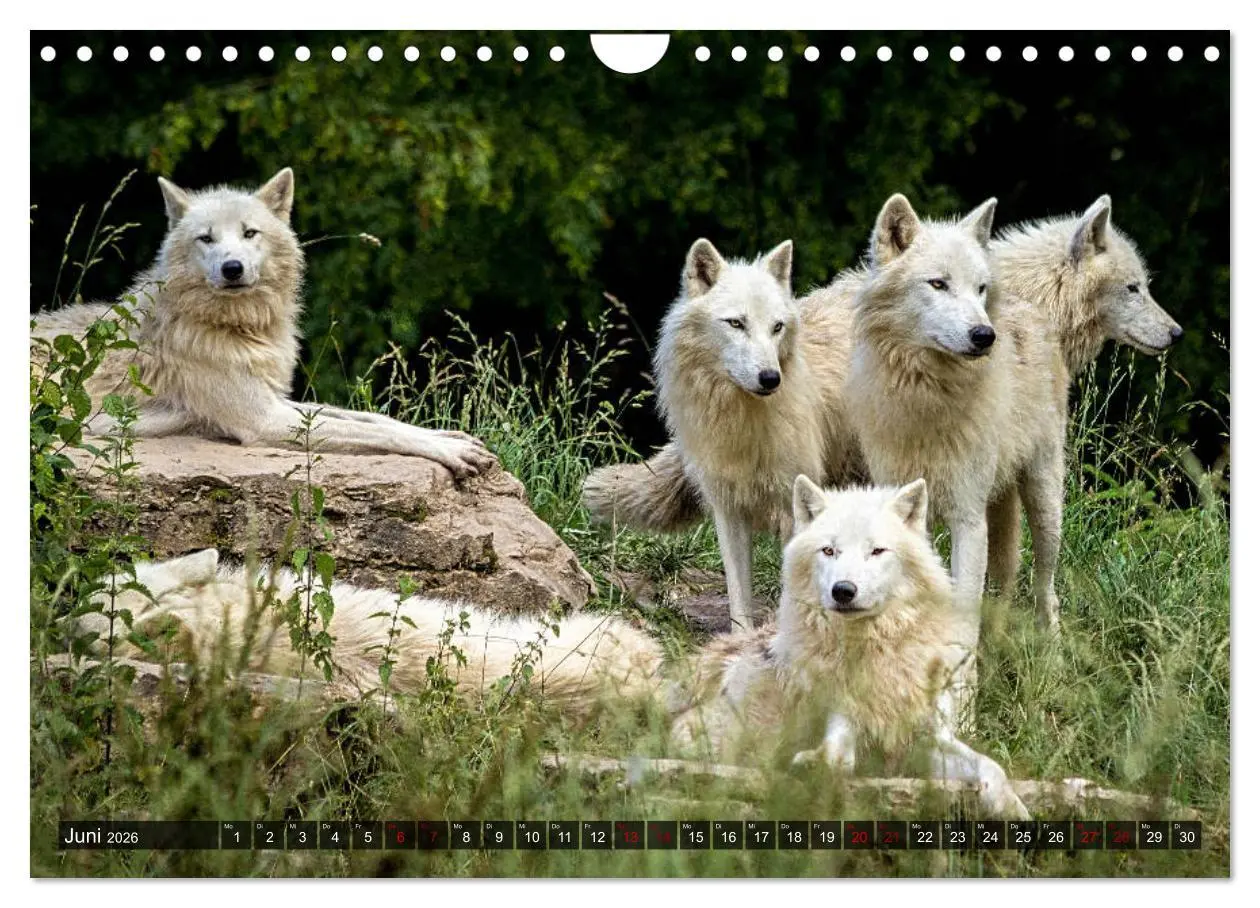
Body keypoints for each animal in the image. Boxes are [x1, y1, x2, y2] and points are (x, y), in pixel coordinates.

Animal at [31, 169, 495, 478]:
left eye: (250, 233)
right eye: (207, 238)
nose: (232, 268)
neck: (239, 330)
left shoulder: (277, 401)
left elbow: (372, 419)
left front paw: (450, 437)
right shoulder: (265, 421)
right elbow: (373, 432)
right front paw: (448, 452)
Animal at [615, 238, 859, 629]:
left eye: (776, 327)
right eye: (736, 323)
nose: (770, 378)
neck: (741, 421)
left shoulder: (793, 510)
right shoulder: (728, 508)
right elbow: (738, 596)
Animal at [671, 477, 1030, 818]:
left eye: (877, 551)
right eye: (829, 551)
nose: (843, 590)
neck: (877, 649)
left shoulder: (929, 739)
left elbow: (990, 766)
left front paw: (1011, 807)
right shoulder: (843, 720)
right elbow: (838, 755)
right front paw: (814, 766)